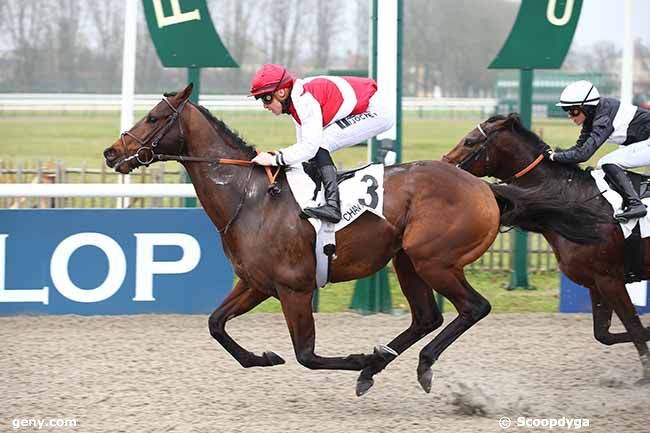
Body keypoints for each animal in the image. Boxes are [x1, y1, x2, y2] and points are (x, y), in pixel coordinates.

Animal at [101, 85, 604, 394]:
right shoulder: (255, 284)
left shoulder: (293, 288)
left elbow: (307, 355)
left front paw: (357, 355)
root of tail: (485, 188)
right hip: (406, 261)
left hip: (433, 259)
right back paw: (378, 365)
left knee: (472, 308)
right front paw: (263, 357)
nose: (111, 152)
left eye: (153, 117)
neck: (250, 196)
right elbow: (216, 325)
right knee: (426, 317)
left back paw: (409, 363)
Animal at [440, 113, 648, 384]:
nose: (443, 165)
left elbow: (634, 327)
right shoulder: (597, 282)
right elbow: (605, 334)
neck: (573, 200)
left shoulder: (611, 279)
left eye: (469, 141)